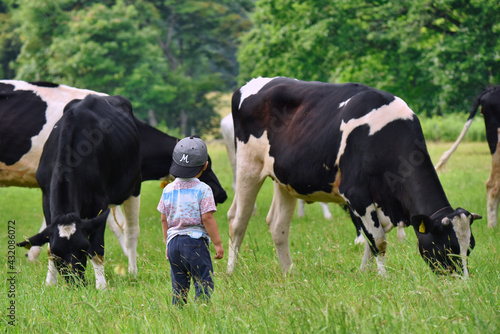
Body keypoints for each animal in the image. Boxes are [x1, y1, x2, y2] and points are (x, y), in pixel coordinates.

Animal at [16, 94, 142, 288]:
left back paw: (132, 272)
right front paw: (50, 283)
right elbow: (48, 245)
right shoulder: (46, 198)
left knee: (131, 232)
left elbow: (97, 249)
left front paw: (101, 286)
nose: (75, 283)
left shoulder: (99, 204)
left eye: (83, 248)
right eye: (59, 254)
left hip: (134, 187)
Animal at [229, 77, 482, 278]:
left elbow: (372, 240)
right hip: (247, 167)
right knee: (238, 221)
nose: (463, 282)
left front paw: (364, 273)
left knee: (278, 226)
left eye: (469, 247)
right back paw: (232, 272)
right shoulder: (357, 195)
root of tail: (251, 84)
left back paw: (288, 273)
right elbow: (378, 240)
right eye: (447, 247)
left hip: (284, 181)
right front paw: (383, 277)